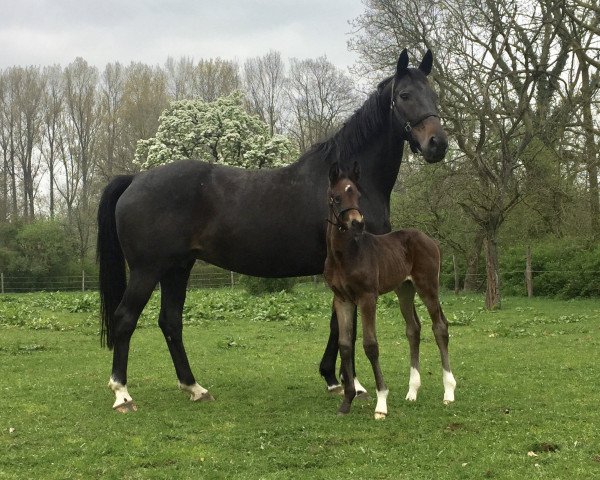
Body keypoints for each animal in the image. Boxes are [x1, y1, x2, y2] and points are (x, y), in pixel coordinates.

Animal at [326, 163, 458, 418]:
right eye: (336, 198)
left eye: (358, 195)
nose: (358, 223)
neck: (344, 255)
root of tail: (431, 240)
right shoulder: (342, 299)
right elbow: (345, 345)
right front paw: (347, 401)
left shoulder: (367, 297)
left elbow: (370, 345)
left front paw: (381, 403)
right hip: (404, 289)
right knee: (413, 329)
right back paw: (412, 392)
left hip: (427, 286)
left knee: (440, 326)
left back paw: (448, 392)